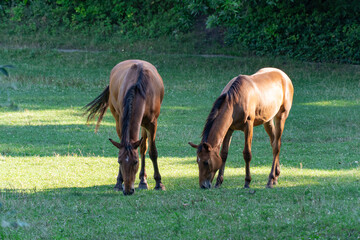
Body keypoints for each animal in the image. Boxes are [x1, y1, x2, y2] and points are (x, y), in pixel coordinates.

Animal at [86, 59, 166, 195]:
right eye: (119, 161)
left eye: (135, 161)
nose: (128, 190)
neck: (139, 89)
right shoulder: (121, 120)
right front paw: (119, 182)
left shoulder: (152, 123)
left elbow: (153, 152)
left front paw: (158, 183)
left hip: (144, 124)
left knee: (143, 148)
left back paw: (143, 181)